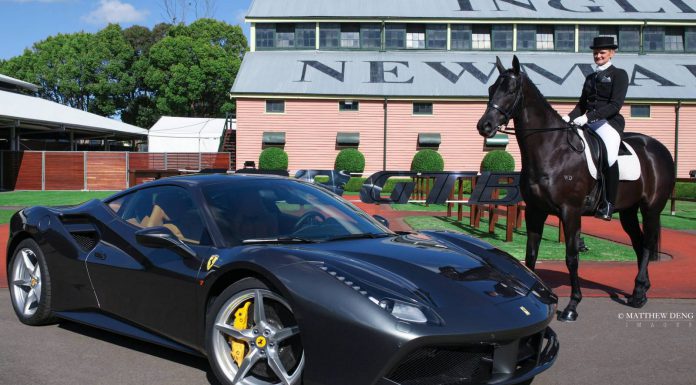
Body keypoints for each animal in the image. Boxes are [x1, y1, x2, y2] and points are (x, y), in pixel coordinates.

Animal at [478, 56, 676, 320]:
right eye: (491, 89)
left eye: (510, 90)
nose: (485, 126)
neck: (553, 149)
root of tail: (659, 148)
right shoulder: (535, 211)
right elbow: (531, 254)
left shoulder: (570, 212)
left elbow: (572, 257)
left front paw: (572, 306)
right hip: (628, 211)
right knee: (638, 242)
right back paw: (639, 291)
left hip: (651, 208)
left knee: (646, 243)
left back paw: (639, 295)